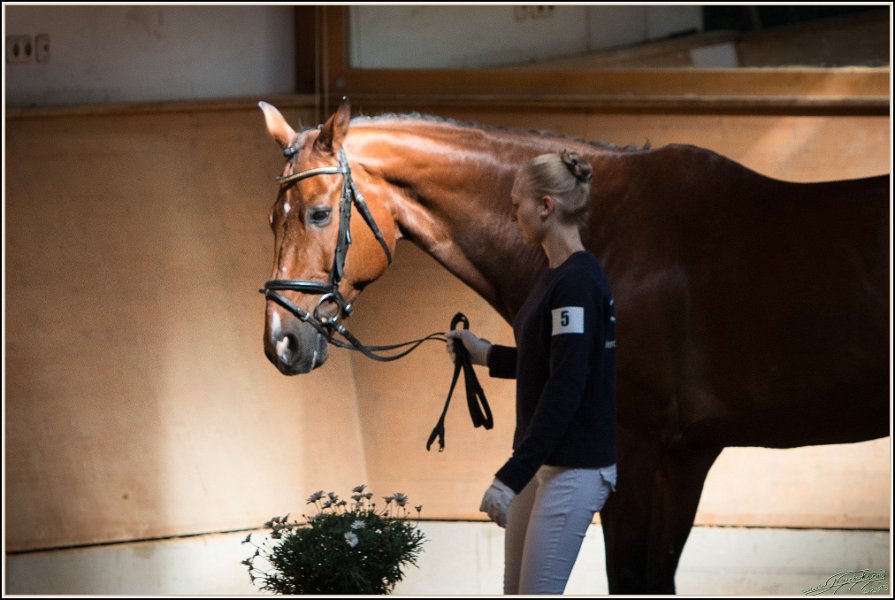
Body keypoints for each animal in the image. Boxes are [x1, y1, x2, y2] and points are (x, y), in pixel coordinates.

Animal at [258, 98, 889, 594]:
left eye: (318, 213)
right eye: (271, 220)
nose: (281, 342)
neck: (608, 233)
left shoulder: (633, 451)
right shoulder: (685, 456)